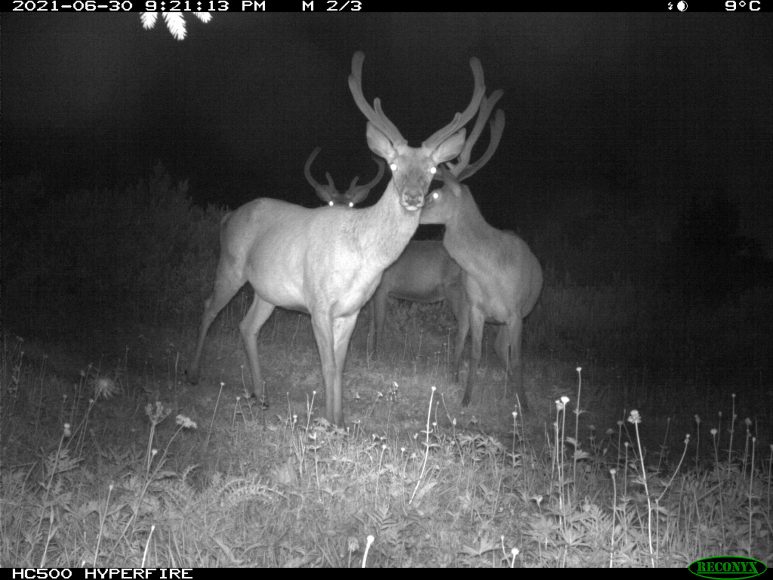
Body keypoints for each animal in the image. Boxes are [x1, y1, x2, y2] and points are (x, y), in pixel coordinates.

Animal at [186, 52, 482, 426]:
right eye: (393, 165)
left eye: (431, 169)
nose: (414, 197)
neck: (362, 258)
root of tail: (228, 216)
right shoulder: (318, 302)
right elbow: (327, 366)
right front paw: (326, 422)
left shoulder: (351, 309)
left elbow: (341, 367)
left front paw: (338, 421)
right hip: (231, 265)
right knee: (209, 307)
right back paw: (194, 374)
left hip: (268, 289)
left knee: (246, 326)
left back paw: (260, 393)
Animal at [420, 89, 540, 408]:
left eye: (434, 195)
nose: (412, 209)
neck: (491, 273)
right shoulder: (476, 308)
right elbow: (475, 353)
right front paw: (466, 398)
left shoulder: (515, 312)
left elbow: (520, 359)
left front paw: (525, 406)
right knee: (494, 347)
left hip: (516, 316)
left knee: (505, 351)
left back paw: (517, 393)